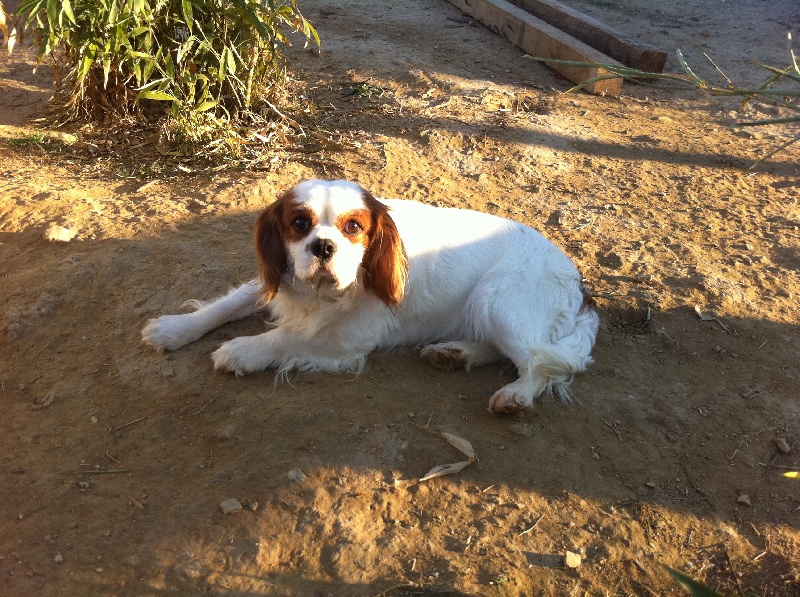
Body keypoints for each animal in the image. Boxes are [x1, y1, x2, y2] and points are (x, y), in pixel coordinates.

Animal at [141, 179, 596, 412]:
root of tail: (579, 281)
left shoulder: (348, 338)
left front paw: (241, 350)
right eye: (299, 224)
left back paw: (517, 394)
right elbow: (226, 304)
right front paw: (175, 328)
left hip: (497, 301)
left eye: (354, 227)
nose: (323, 246)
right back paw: (453, 353)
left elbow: (286, 336)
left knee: (542, 362)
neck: (322, 294)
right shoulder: (279, 282)